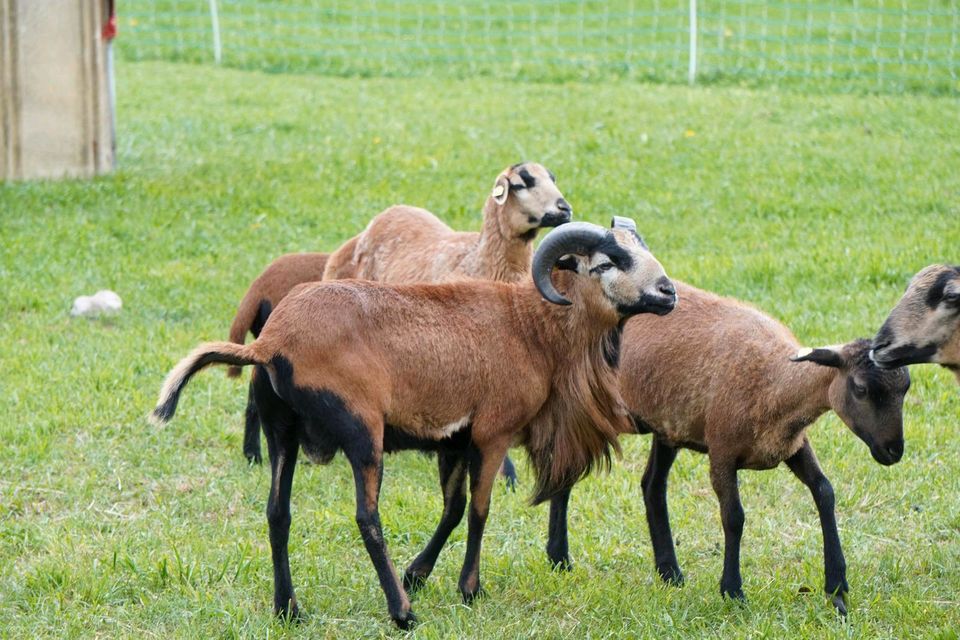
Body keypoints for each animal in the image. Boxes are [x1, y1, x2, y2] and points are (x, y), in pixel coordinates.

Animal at [544, 280, 912, 616]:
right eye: (861, 389)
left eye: (906, 387)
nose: (894, 451)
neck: (775, 382)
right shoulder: (722, 451)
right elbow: (734, 517)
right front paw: (732, 591)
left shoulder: (791, 444)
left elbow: (824, 492)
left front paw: (837, 588)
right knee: (565, 470)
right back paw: (559, 558)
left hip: (667, 425)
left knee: (652, 486)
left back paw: (670, 573)